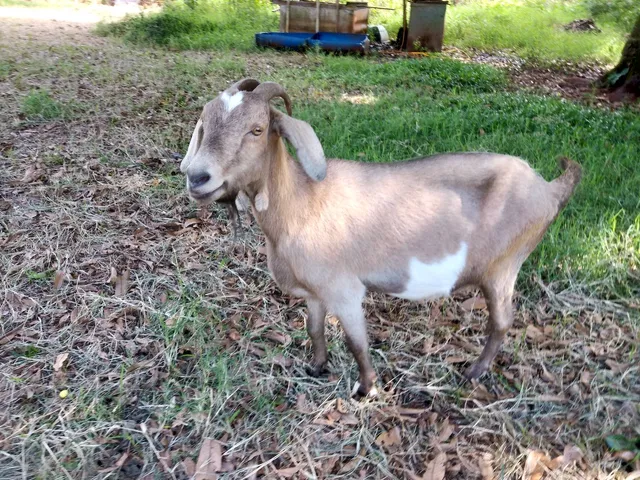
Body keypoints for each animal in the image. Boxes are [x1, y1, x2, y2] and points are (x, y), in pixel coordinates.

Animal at [180, 78, 582, 397]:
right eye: (205, 123)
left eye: (258, 129)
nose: (198, 177)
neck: (303, 203)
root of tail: (547, 188)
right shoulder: (315, 293)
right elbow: (314, 329)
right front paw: (317, 367)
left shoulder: (344, 289)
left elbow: (357, 342)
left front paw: (367, 388)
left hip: (503, 267)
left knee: (501, 322)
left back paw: (474, 372)